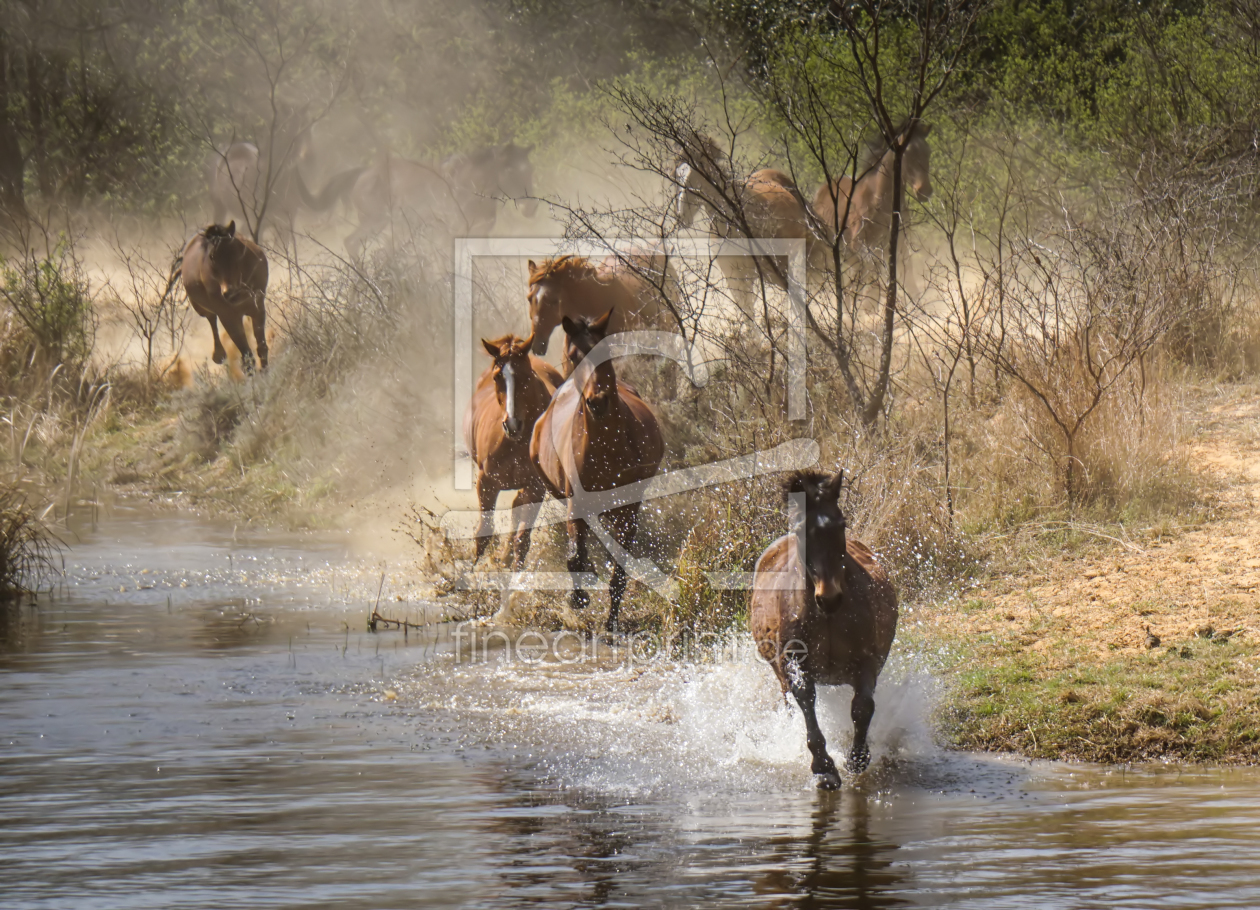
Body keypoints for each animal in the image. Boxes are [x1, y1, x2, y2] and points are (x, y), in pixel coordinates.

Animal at [180, 219, 270, 373]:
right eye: (211, 256)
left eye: (235, 250)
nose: (230, 292)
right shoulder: (228, 316)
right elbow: (246, 355)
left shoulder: (257, 306)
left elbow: (261, 347)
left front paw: (265, 371)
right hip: (203, 309)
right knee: (211, 319)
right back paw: (219, 354)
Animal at [461, 330, 564, 564]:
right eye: (497, 377)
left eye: (526, 376)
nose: (512, 424)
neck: (515, 443)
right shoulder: (486, 483)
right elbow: (484, 532)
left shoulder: (536, 487)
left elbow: (522, 540)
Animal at [531, 308, 670, 627]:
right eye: (573, 354)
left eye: (605, 352)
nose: (598, 401)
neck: (606, 444)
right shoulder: (576, 502)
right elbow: (574, 555)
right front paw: (579, 596)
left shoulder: (628, 507)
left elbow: (619, 566)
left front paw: (612, 621)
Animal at [745, 468, 897, 786]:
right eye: (801, 528)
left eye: (842, 523)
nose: (829, 598)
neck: (826, 616)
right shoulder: (794, 662)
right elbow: (806, 702)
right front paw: (824, 768)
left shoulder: (866, 660)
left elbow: (862, 708)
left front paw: (857, 758)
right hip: (779, 674)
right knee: (790, 704)